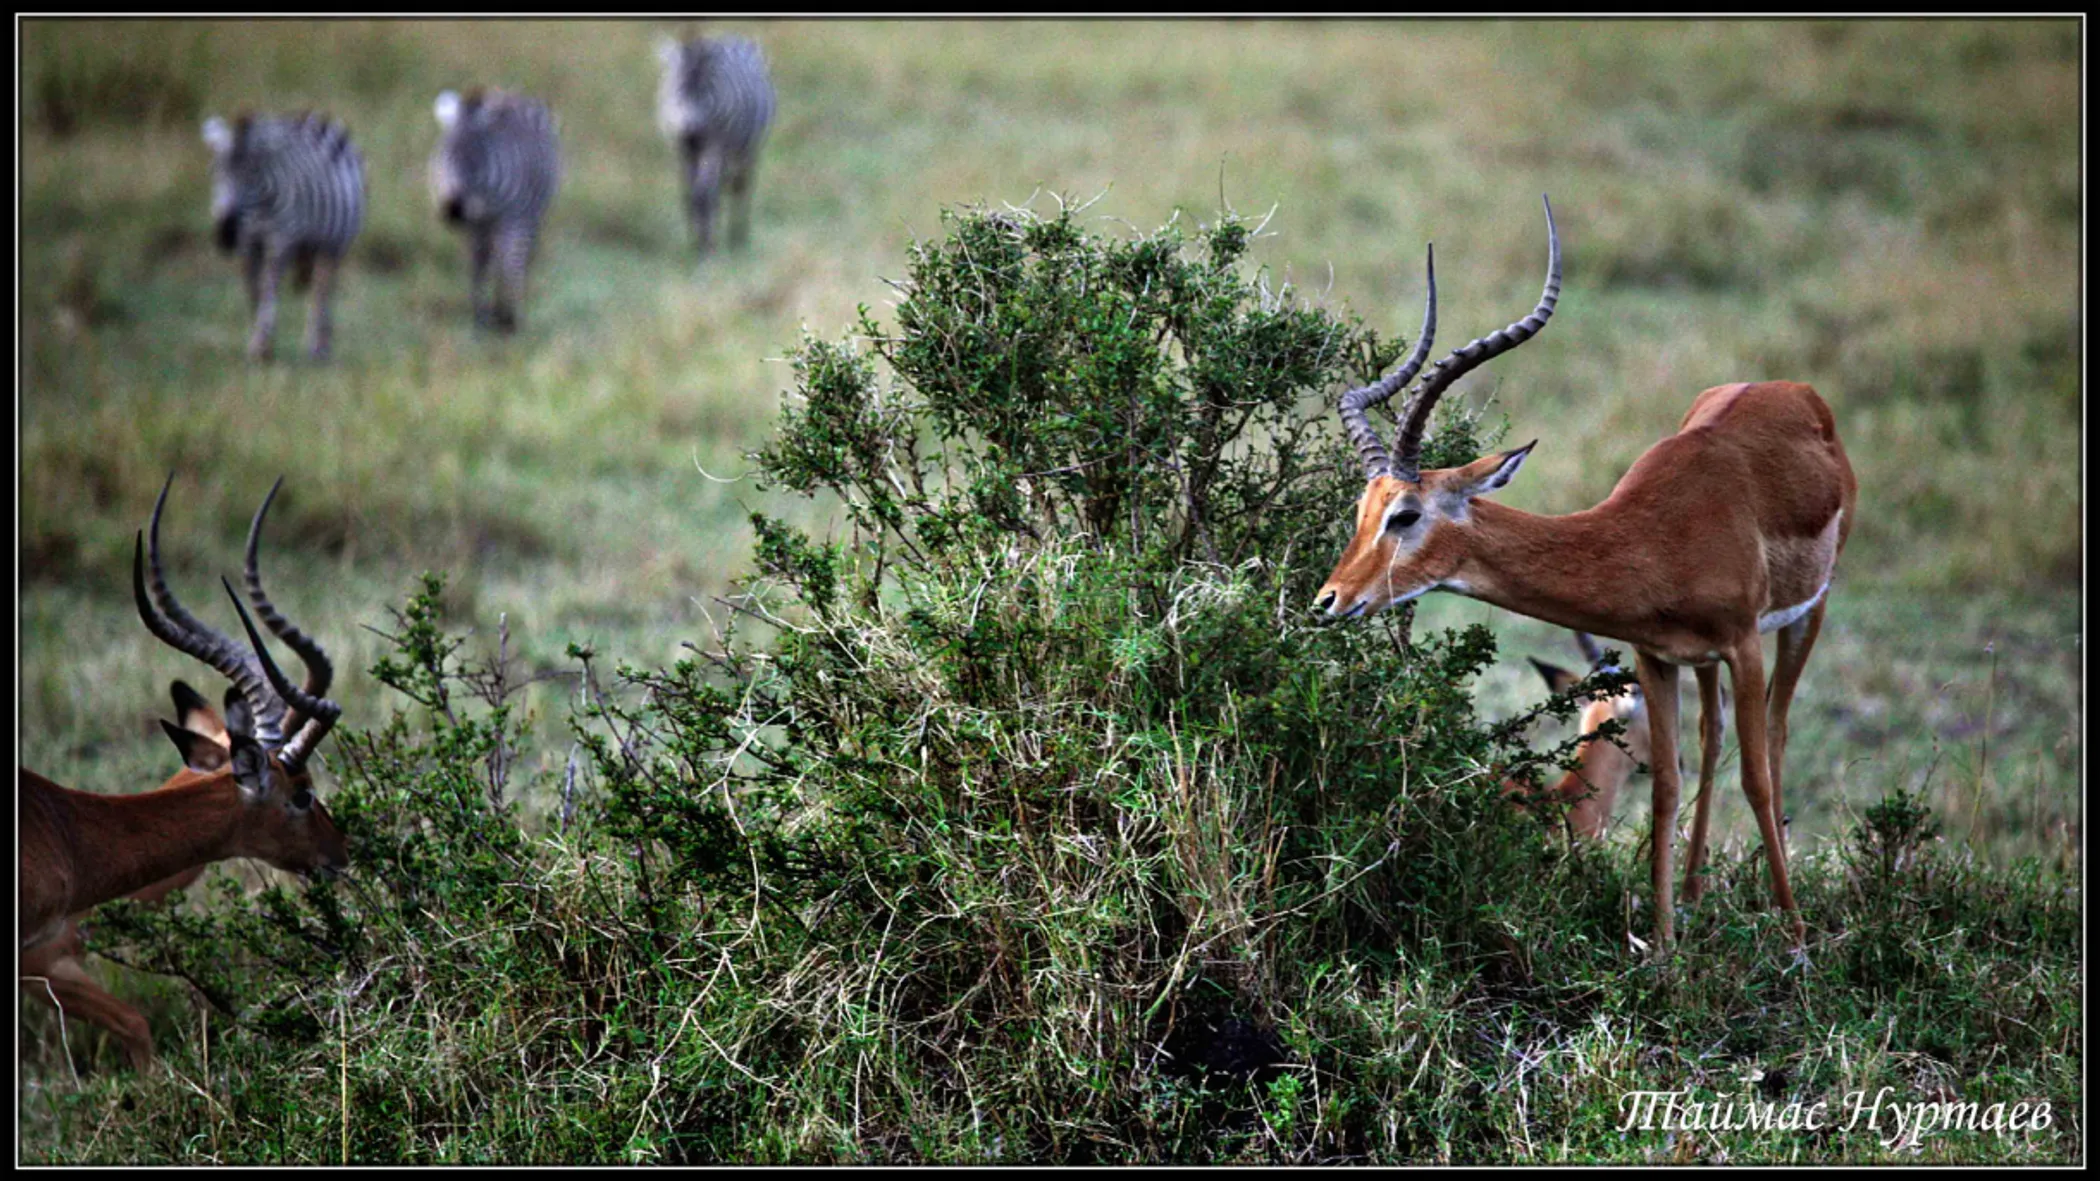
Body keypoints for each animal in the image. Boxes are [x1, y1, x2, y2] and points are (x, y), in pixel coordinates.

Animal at [200, 111, 365, 359]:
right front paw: (261, 341)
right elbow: (254, 287)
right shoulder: (248, 244)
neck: (258, 207)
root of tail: (312, 120)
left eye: (251, 175)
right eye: (215, 173)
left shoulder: (281, 241)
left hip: (334, 244)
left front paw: (261, 346)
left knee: (321, 291)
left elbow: (269, 288)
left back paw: (318, 347)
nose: (226, 233)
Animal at [430, 89, 562, 332]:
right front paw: (504, 311)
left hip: (477, 214)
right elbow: (515, 262)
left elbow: (485, 262)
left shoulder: (482, 221)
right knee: (511, 261)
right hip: (514, 216)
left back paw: (482, 317)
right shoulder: (528, 216)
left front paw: (488, 312)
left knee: (480, 262)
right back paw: (511, 319)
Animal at [651, 34, 776, 257]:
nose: (690, 131)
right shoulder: (683, 150)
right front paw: (694, 241)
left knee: (741, 187)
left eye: (707, 96)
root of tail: (730, 36)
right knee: (720, 187)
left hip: (748, 150)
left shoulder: (714, 145)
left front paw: (705, 246)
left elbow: (703, 193)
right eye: (676, 92)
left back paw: (738, 237)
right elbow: (689, 193)